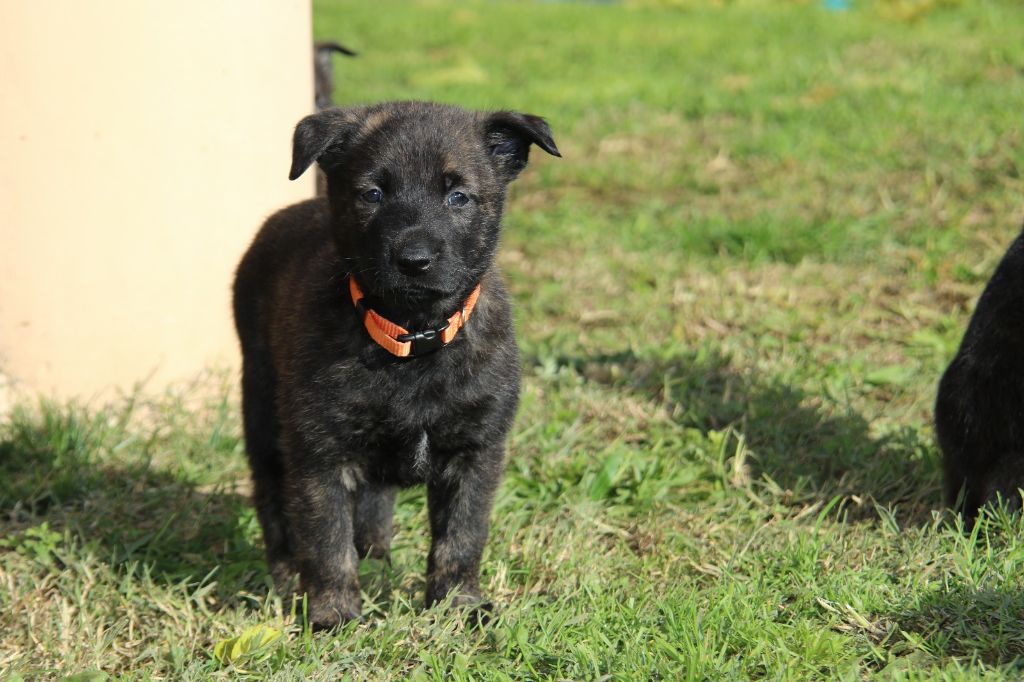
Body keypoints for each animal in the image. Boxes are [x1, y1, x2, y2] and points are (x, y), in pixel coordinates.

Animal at [233, 100, 561, 626]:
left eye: (458, 197)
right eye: (372, 193)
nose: (414, 260)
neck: (413, 337)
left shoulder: (476, 449)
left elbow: (461, 537)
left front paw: (458, 606)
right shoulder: (319, 452)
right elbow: (326, 540)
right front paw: (334, 615)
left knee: (374, 502)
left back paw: (378, 559)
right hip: (263, 413)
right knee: (273, 501)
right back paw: (283, 577)